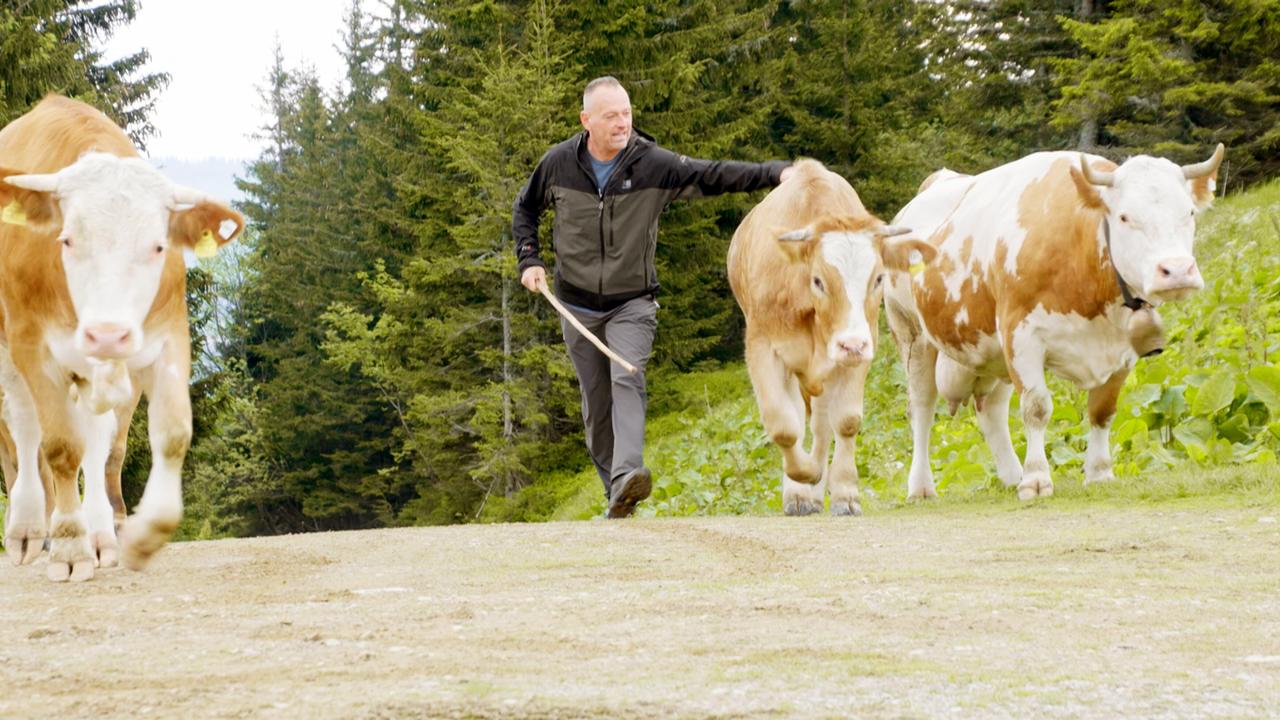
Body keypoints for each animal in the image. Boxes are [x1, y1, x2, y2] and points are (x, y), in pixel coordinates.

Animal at [0, 95, 243, 581]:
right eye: (67, 240)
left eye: (158, 246)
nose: (107, 334)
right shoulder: (32, 345)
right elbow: (59, 447)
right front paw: (69, 547)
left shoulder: (168, 337)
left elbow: (171, 434)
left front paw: (143, 536)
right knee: (25, 430)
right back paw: (29, 528)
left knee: (99, 442)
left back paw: (100, 533)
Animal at [728, 159, 936, 515]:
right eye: (818, 281)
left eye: (878, 278)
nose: (850, 344)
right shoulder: (762, 348)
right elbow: (783, 425)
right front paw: (805, 477)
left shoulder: (863, 347)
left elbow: (846, 421)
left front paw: (844, 493)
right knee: (800, 419)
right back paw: (801, 492)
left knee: (822, 425)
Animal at [884, 145, 1224, 501]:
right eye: (1124, 217)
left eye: (1189, 213)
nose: (1177, 270)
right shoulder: (1021, 336)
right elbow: (1036, 407)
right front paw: (1036, 479)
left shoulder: (1122, 350)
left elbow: (1102, 411)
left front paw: (1099, 472)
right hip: (912, 335)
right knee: (921, 409)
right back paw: (922, 487)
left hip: (992, 353)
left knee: (991, 410)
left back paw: (1011, 475)